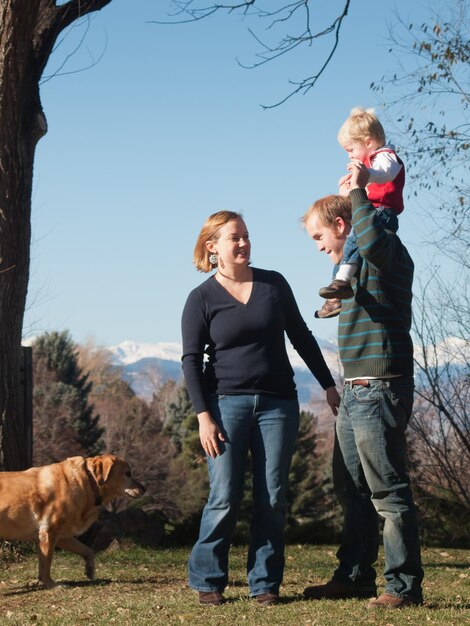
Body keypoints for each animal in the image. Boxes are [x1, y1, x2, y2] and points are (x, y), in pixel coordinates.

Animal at [0, 450, 145, 588]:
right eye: (128, 473)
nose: (144, 489)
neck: (88, 483)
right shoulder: (49, 533)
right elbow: (45, 565)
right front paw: (52, 585)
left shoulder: (63, 537)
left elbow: (88, 550)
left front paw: (90, 570)